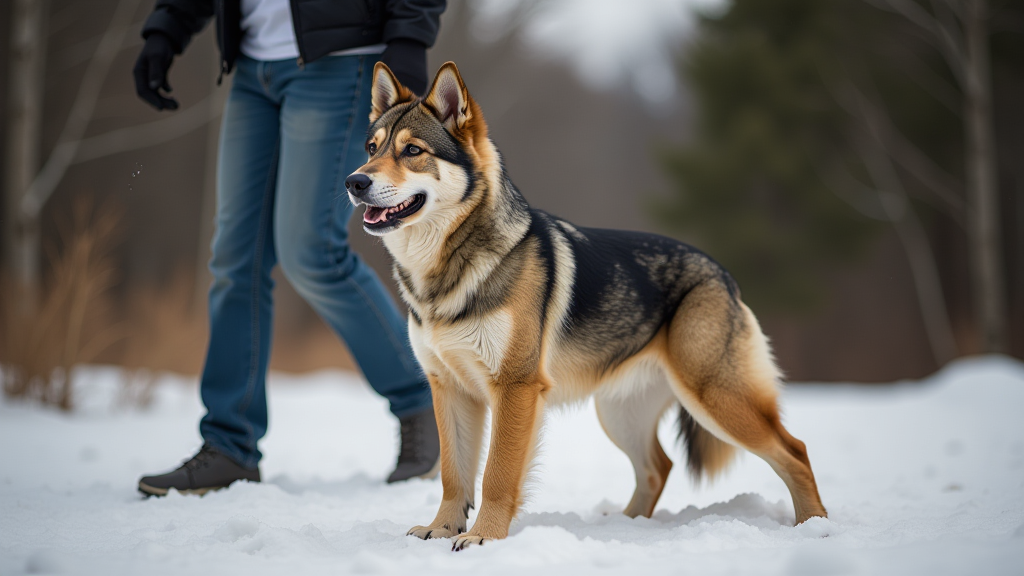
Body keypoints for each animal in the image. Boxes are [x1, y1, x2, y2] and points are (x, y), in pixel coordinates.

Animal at [348, 61, 827, 545]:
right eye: (371, 148)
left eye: (412, 151)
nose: (355, 181)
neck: (444, 272)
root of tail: (724, 274)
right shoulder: (448, 388)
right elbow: (453, 474)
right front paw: (441, 529)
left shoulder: (515, 387)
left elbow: (497, 474)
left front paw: (484, 538)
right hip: (620, 414)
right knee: (659, 467)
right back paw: (627, 526)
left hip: (714, 399)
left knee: (796, 451)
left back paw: (815, 527)